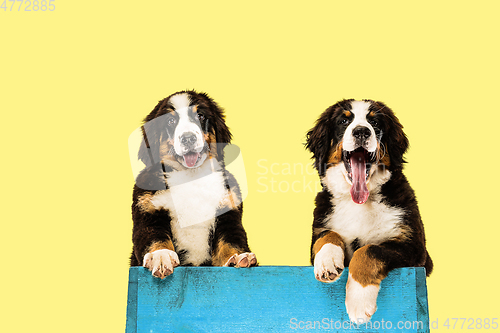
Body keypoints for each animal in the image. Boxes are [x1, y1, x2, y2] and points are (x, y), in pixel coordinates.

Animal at [306, 98, 432, 322]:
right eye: (344, 121)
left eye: (375, 123)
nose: (361, 132)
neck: (359, 204)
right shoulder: (320, 226)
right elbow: (328, 235)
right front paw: (327, 262)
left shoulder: (413, 247)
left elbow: (369, 250)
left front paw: (358, 301)